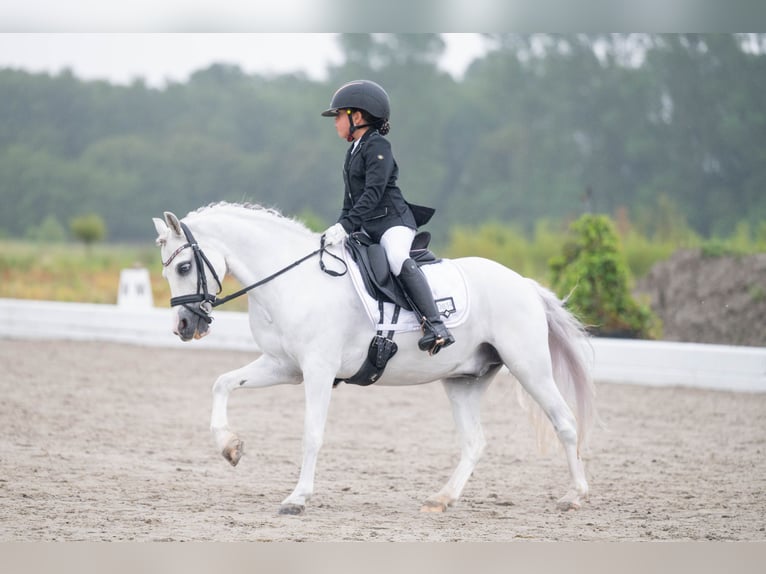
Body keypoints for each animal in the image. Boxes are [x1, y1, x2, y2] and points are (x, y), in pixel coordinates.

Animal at [153, 202, 597, 515]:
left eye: (185, 266)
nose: (184, 326)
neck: (292, 281)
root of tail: (524, 283)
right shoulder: (284, 366)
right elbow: (222, 383)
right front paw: (230, 448)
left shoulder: (317, 370)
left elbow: (311, 434)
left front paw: (297, 498)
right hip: (463, 380)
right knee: (475, 442)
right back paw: (441, 499)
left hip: (529, 368)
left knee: (565, 423)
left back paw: (574, 496)